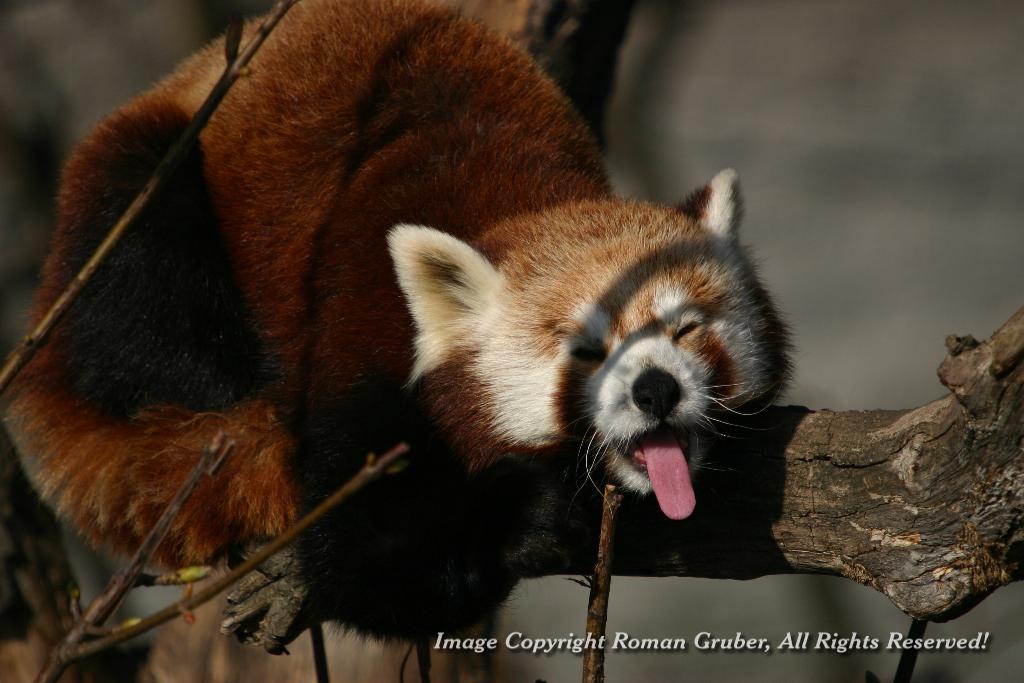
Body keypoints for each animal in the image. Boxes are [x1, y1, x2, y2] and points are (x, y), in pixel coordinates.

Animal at [4, 0, 786, 643]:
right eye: (585, 351)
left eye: (684, 329)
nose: (655, 390)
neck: (520, 195)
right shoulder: (362, 319)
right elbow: (362, 558)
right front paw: (525, 512)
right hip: (140, 195)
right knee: (141, 297)